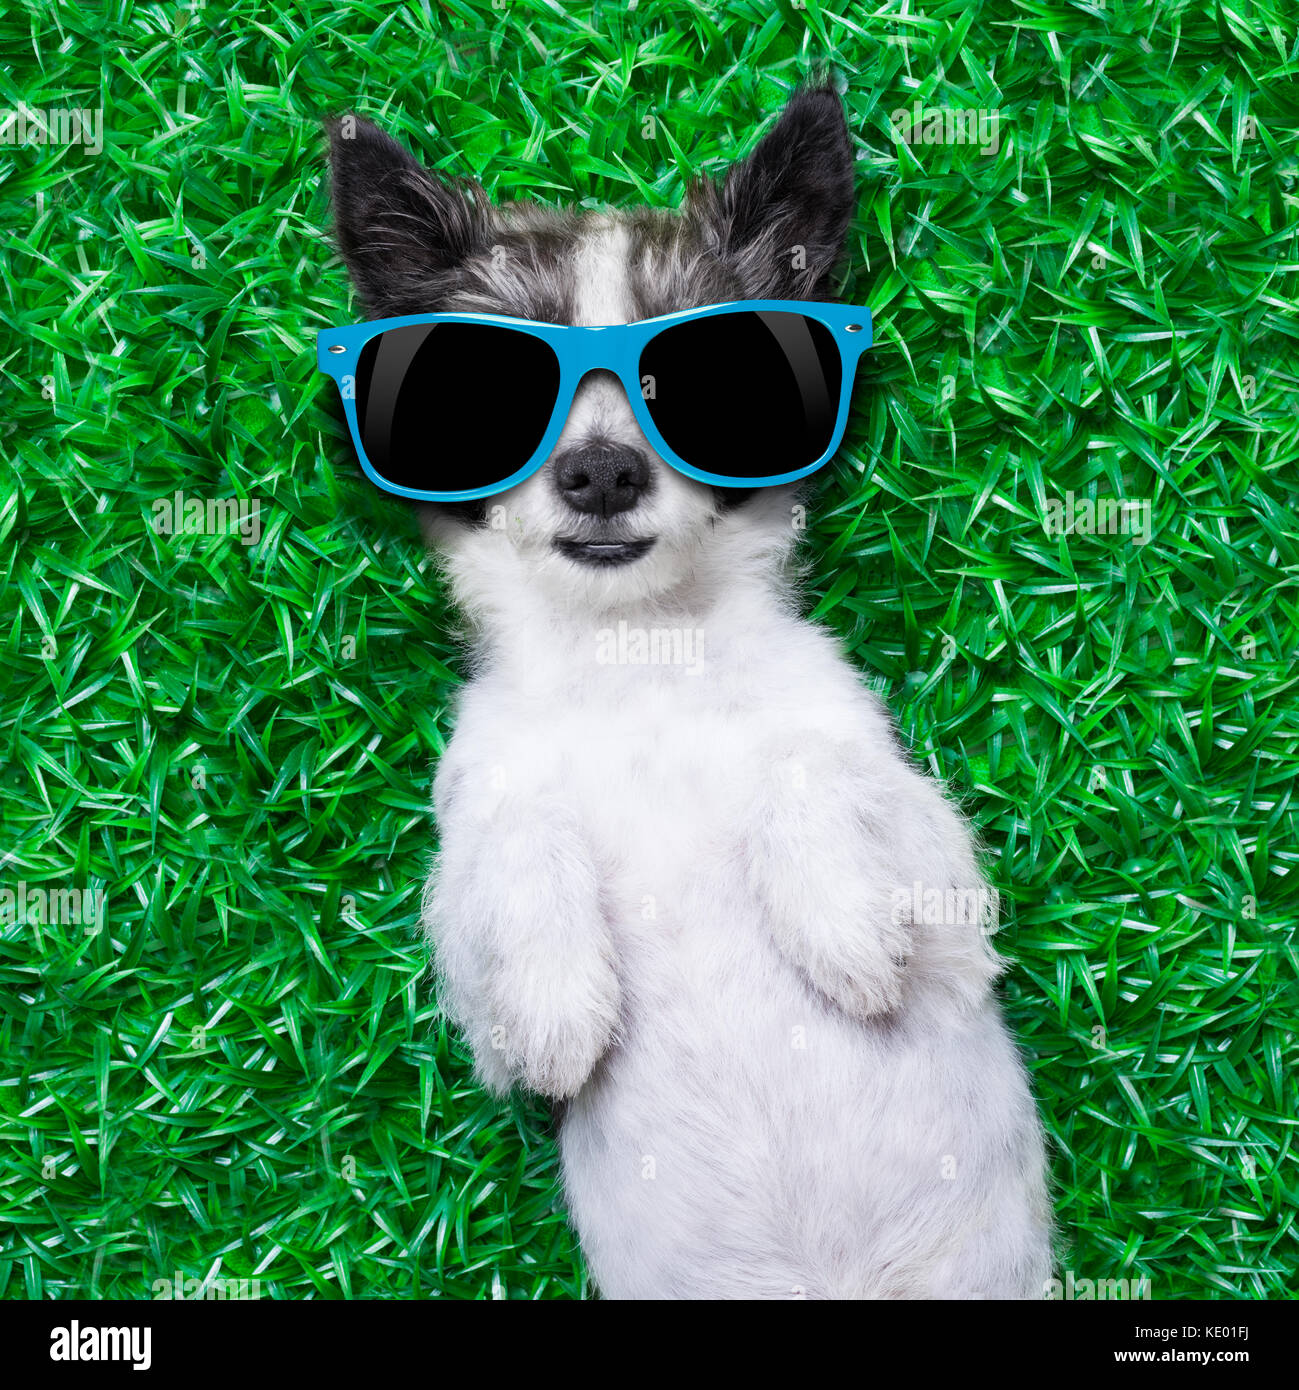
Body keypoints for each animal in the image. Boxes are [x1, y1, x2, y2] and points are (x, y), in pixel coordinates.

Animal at [327, 89, 1055, 1301]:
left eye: (711, 375)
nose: (602, 472)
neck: (640, 660)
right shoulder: (478, 940)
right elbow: (514, 851)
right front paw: (562, 999)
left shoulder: (949, 897)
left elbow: (809, 761)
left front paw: (840, 923)